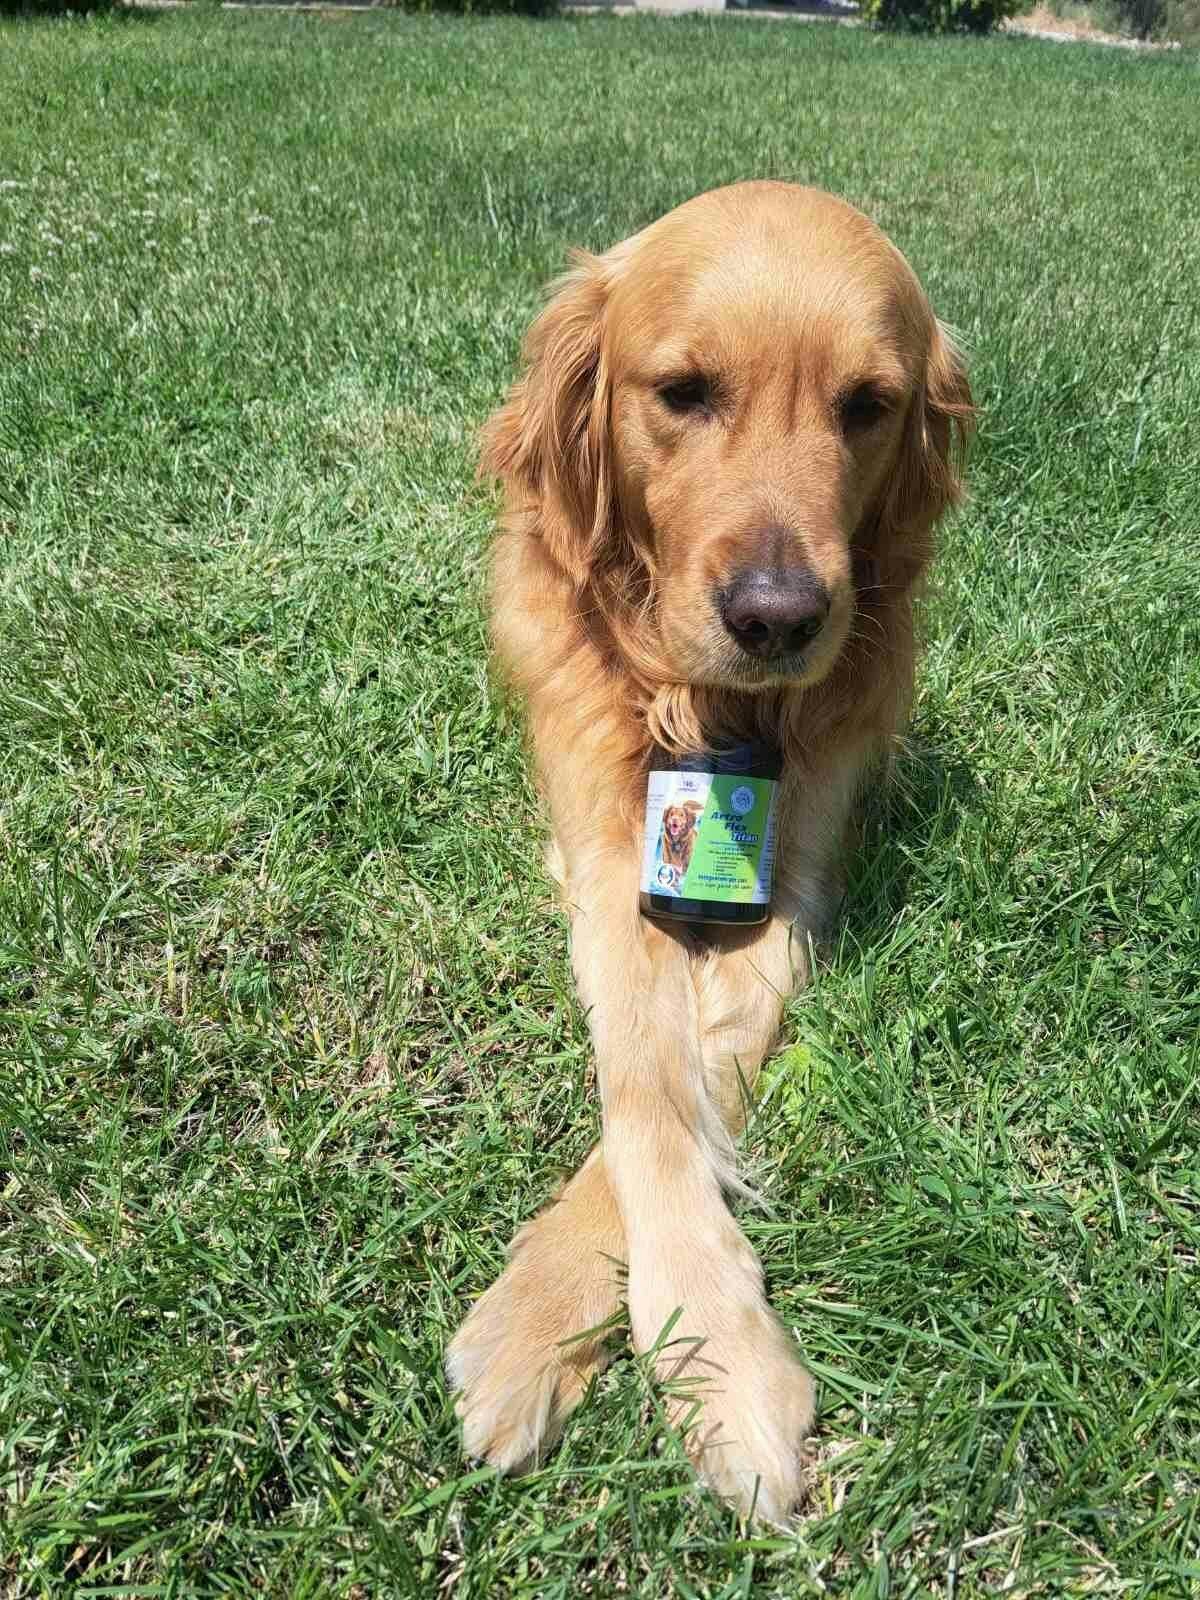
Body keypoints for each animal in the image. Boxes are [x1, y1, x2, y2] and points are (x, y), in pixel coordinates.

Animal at [447, 181, 973, 1521]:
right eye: (682, 391)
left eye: (868, 405)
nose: (779, 618)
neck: (711, 716)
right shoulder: (601, 849)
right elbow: (644, 1068)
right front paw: (556, 1329)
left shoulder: (795, 878)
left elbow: (700, 1070)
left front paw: (708, 1354)